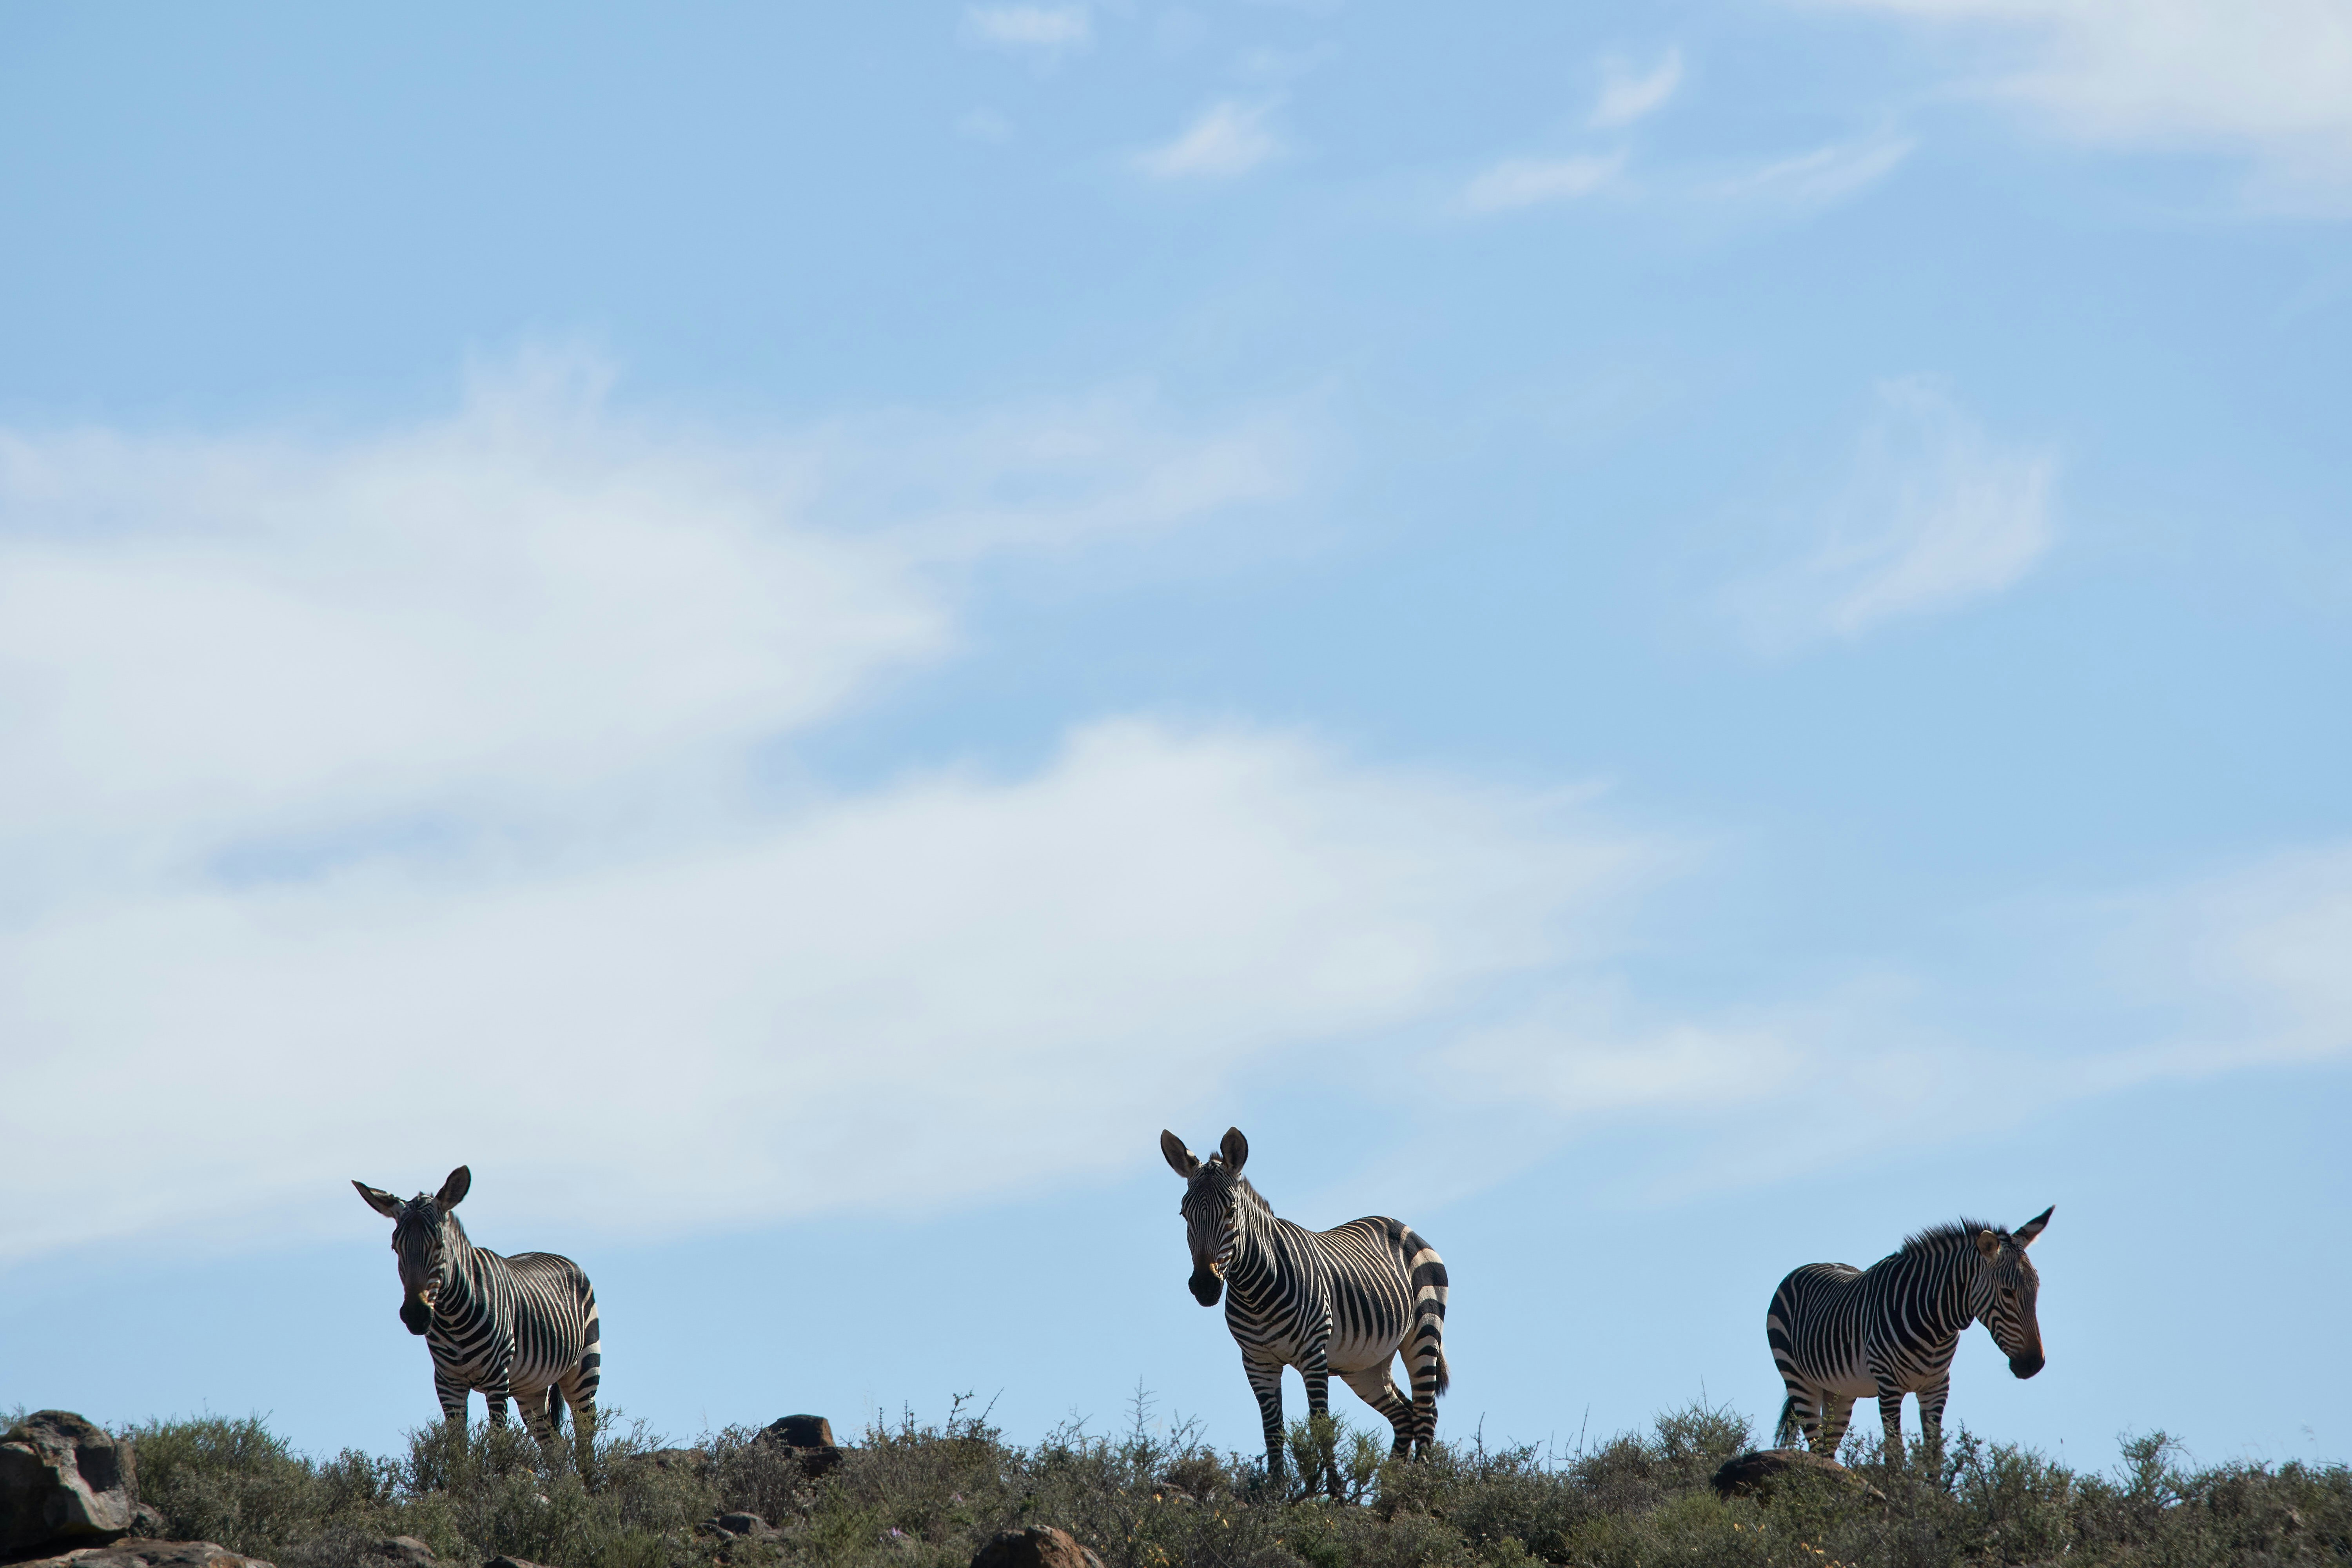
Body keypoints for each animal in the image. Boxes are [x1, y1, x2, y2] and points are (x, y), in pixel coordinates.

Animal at [353, 1166, 607, 1476]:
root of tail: (560, 1256)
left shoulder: (497, 1379)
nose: (415, 1315)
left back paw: (588, 1484)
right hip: (531, 1389)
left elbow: (498, 1444)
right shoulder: (448, 1382)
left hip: (584, 1369)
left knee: (586, 1437)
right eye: (395, 1248)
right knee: (554, 1446)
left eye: (439, 1246)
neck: (451, 1318)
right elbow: (457, 1451)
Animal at [1162, 1128, 1449, 1495]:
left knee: (1426, 1413)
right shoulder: (1258, 1362)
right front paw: (1274, 1494)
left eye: (1230, 1211)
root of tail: (1399, 1224)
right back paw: (1390, 1493)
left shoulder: (1314, 1355)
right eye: (1184, 1214)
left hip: (1423, 1334)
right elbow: (1273, 1430)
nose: (1204, 1287)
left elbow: (1321, 1427)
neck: (1255, 1290)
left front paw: (1335, 1496)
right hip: (1366, 1365)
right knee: (1405, 1416)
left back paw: (1419, 1492)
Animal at [1769, 1213, 2051, 1467]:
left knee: (1826, 1452)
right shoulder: (1889, 1386)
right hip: (1798, 1380)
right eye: (2008, 1292)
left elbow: (1933, 1457)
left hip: (1839, 1391)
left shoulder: (1937, 1386)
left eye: (2037, 1289)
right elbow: (1896, 1457)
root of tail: (1808, 1267)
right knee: (1816, 1448)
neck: (1936, 1327)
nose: (2034, 1365)